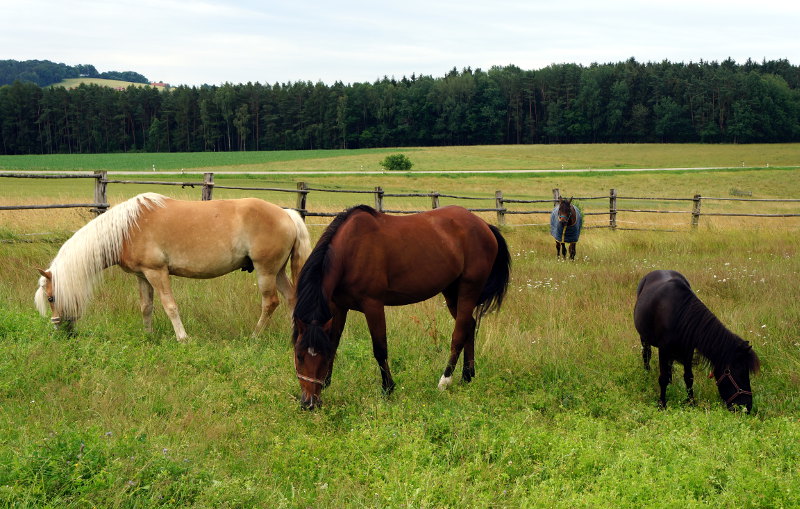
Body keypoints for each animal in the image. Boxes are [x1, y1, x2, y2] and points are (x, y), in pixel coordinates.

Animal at [37, 192, 312, 340]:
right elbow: (146, 307)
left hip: (265, 271)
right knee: (291, 299)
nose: (60, 329)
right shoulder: (143, 276)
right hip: (277, 272)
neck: (127, 228)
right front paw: (148, 336)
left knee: (270, 303)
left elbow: (169, 306)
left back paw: (254, 337)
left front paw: (183, 338)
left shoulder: (157, 272)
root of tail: (287, 214)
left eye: (51, 298)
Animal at [290, 204, 510, 406]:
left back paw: (445, 381)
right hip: (451, 292)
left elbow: (380, 348)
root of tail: (484, 225)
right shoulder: (338, 307)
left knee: (459, 333)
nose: (309, 403)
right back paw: (467, 376)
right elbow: (334, 342)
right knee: (469, 326)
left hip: (468, 289)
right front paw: (327, 383)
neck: (350, 251)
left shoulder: (373, 305)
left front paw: (388, 388)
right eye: (299, 356)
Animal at [636, 268, 760, 410]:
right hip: (644, 338)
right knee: (646, 355)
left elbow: (689, 377)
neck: (679, 315)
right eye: (739, 373)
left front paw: (691, 402)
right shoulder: (664, 350)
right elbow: (663, 378)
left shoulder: (688, 350)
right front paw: (662, 404)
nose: (747, 407)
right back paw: (647, 374)